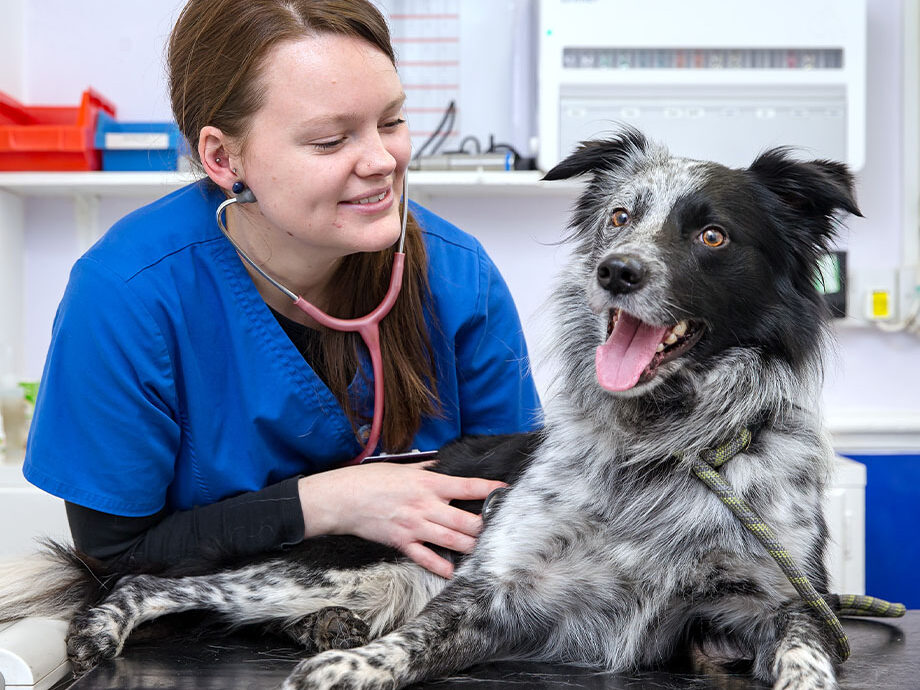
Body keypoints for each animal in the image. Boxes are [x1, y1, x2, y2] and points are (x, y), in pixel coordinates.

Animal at [1, 127, 864, 684]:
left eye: (712, 237)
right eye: (620, 216)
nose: (614, 272)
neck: (664, 445)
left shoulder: (781, 604)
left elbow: (807, 648)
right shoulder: (494, 592)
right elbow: (420, 637)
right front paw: (352, 667)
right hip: (320, 563)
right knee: (147, 583)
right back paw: (112, 628)